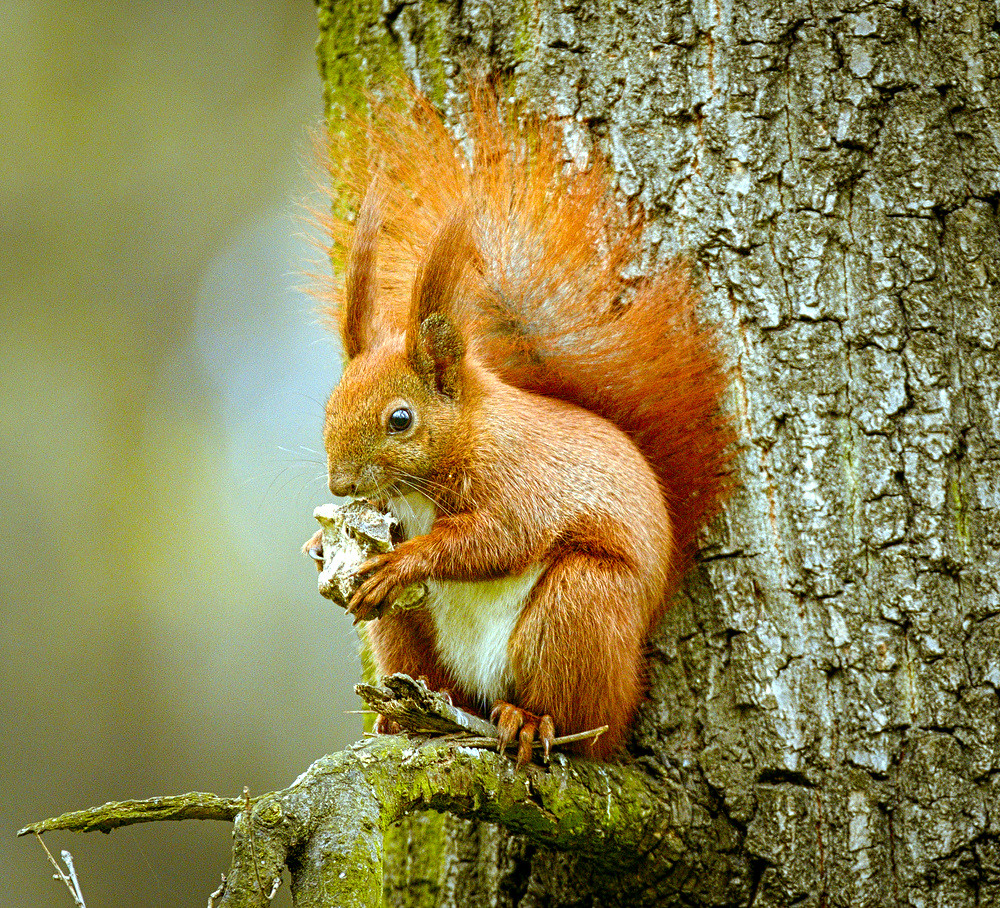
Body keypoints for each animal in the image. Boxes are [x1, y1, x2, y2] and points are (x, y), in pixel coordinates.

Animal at [305, 84, 735, 765]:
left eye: (401, 420)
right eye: (329, 405)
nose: (340, 487)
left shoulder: (519, 482)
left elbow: (492, 540)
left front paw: (407, 561)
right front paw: (318, 545)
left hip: (581, 608)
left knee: (587, 721)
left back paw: (532, 721)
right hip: (408, 630)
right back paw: (404, 720)